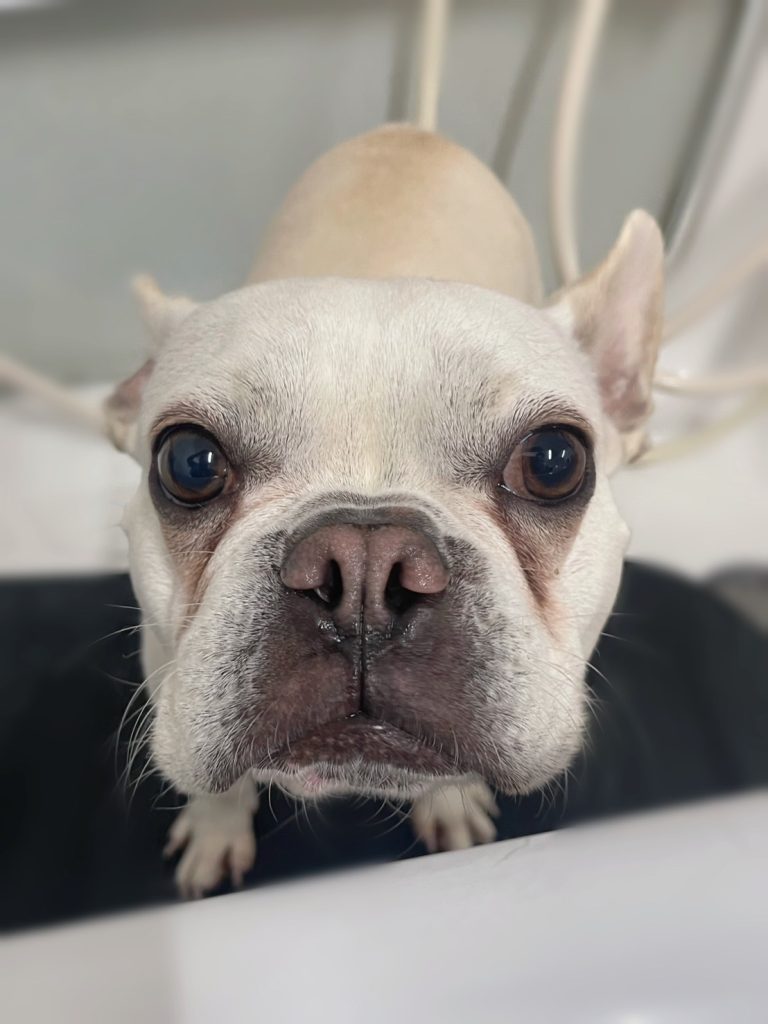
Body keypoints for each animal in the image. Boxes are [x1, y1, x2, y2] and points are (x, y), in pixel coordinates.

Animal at [105, 124, 664, 897]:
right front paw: (216, 829)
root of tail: (411, 132)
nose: (364, 563)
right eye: (189, 462)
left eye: (554, 461)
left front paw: (450, 803)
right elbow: (219, 783)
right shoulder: (166, 667)